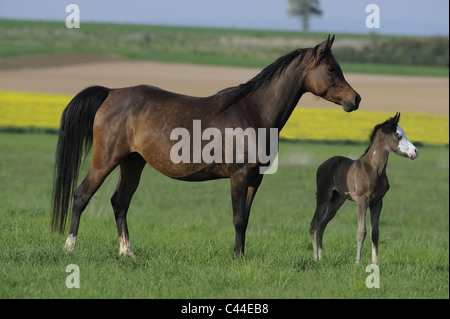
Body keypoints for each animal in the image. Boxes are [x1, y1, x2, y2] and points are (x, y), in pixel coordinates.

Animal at [310, 113, 418, 264]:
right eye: (398, 135)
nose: (415, 152)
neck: (373, 169)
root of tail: (322, 164)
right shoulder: (362, 201)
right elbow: (362, 231)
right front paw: (357, 262)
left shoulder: (377, 202)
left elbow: (375, 232)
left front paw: (375, 262)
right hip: (323, 196)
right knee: (315, 224)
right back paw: (316, 258)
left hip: (337, 200)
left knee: (323, 224)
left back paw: (321, 256)